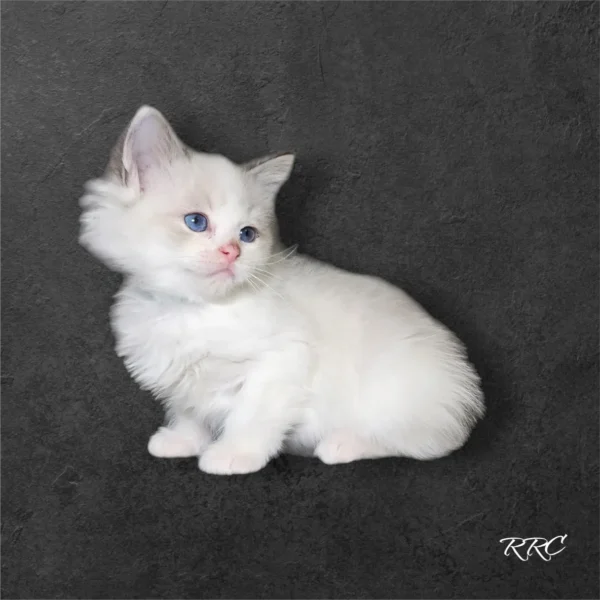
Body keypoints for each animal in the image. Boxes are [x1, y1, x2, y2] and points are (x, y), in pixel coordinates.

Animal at [78, 105, 482, 476]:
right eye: (196, 222)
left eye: (247, 234)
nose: (232, 252)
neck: (194, 309)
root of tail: (465, 383)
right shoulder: (181, 376)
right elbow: (190, 413)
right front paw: (182, 441)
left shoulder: (281, 361)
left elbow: (251, 417)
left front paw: (232, 456)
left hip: (391, 396)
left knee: (422, 442)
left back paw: (341, 444)